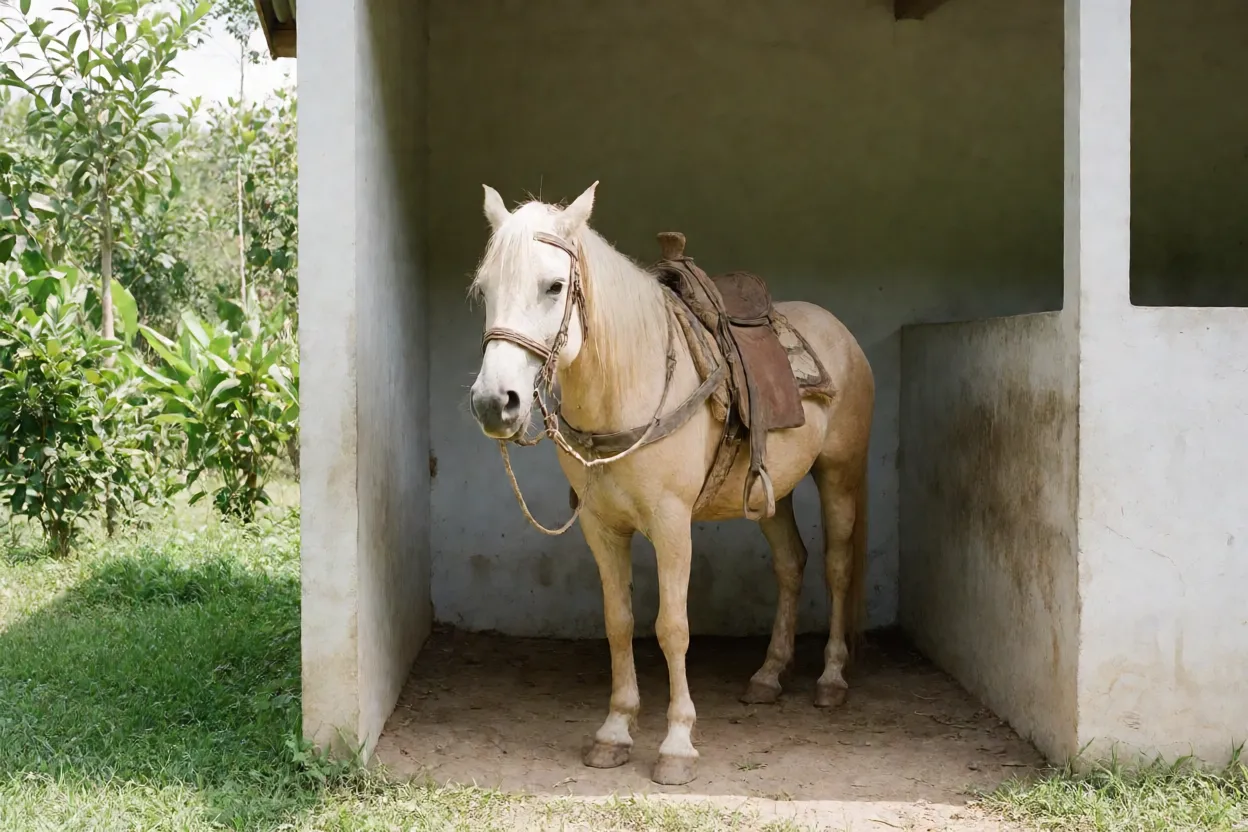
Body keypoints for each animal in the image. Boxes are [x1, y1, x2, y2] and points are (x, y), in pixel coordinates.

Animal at [466, 182, 875, 786]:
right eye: (484, 289)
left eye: (555, 286)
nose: (496, 403)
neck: (628, 384)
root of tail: (839, 332)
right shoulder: (601, 528)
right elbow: (619, 622)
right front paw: (614, 732)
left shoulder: (671, 524)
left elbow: (672, 627)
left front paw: (678, 743)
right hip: (770, 492)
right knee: (790, 563)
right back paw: (768, 675)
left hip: (839, 474)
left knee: (838, 566)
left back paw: (831, 679)